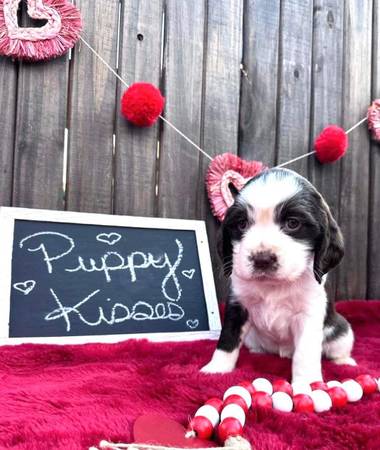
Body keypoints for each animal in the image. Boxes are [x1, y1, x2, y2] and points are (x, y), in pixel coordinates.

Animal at [202, 168, 356, 384]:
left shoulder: (309, 314)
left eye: (293, 223)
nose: (262, 259)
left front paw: (307, 384)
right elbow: (228, 338)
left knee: (338, 347)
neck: (273, 285)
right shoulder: (238, 305)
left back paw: (344, 361)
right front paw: (216, 369)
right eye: (242, 224)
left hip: (341, 330)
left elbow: (305, 353)